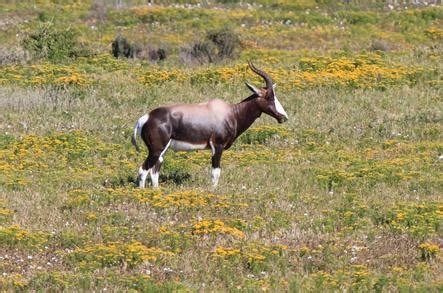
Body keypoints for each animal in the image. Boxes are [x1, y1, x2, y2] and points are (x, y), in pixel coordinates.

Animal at [131, 62, 292, 188]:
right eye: (270, 97)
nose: (284, 117)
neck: (230, 112)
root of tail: (145, 118)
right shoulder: (217, 147)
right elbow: (216, 173)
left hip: (162, 150)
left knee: (154, 170)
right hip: (155, 150)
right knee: (143, 169)